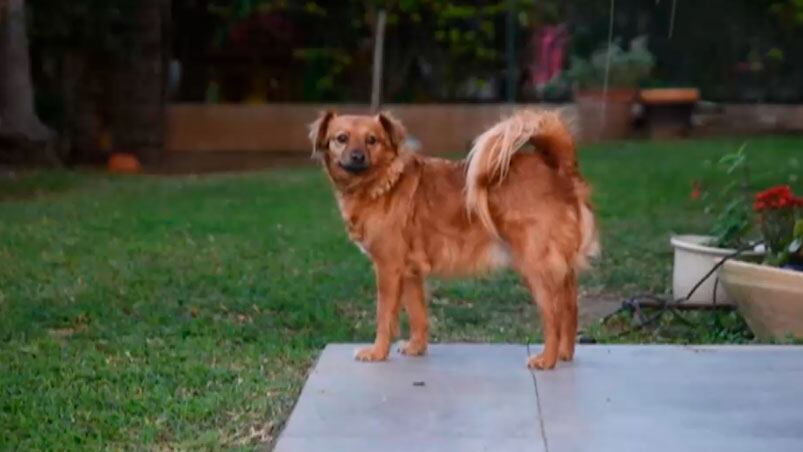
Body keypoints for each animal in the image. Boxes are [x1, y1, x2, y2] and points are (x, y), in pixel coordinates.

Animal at [308, 108, 596, 368]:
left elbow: (384, 316)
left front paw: (378, 352)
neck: (382, 182)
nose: (357, 157)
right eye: (341, 138)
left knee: (553, 315)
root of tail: (559, 168)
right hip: (560, 271)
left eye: (372, 140)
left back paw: (546, 360)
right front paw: (416, 348)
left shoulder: (389, 269)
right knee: (570, 307)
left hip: (534, 266)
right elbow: (417, 314)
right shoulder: (410, 273)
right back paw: (564, 353)